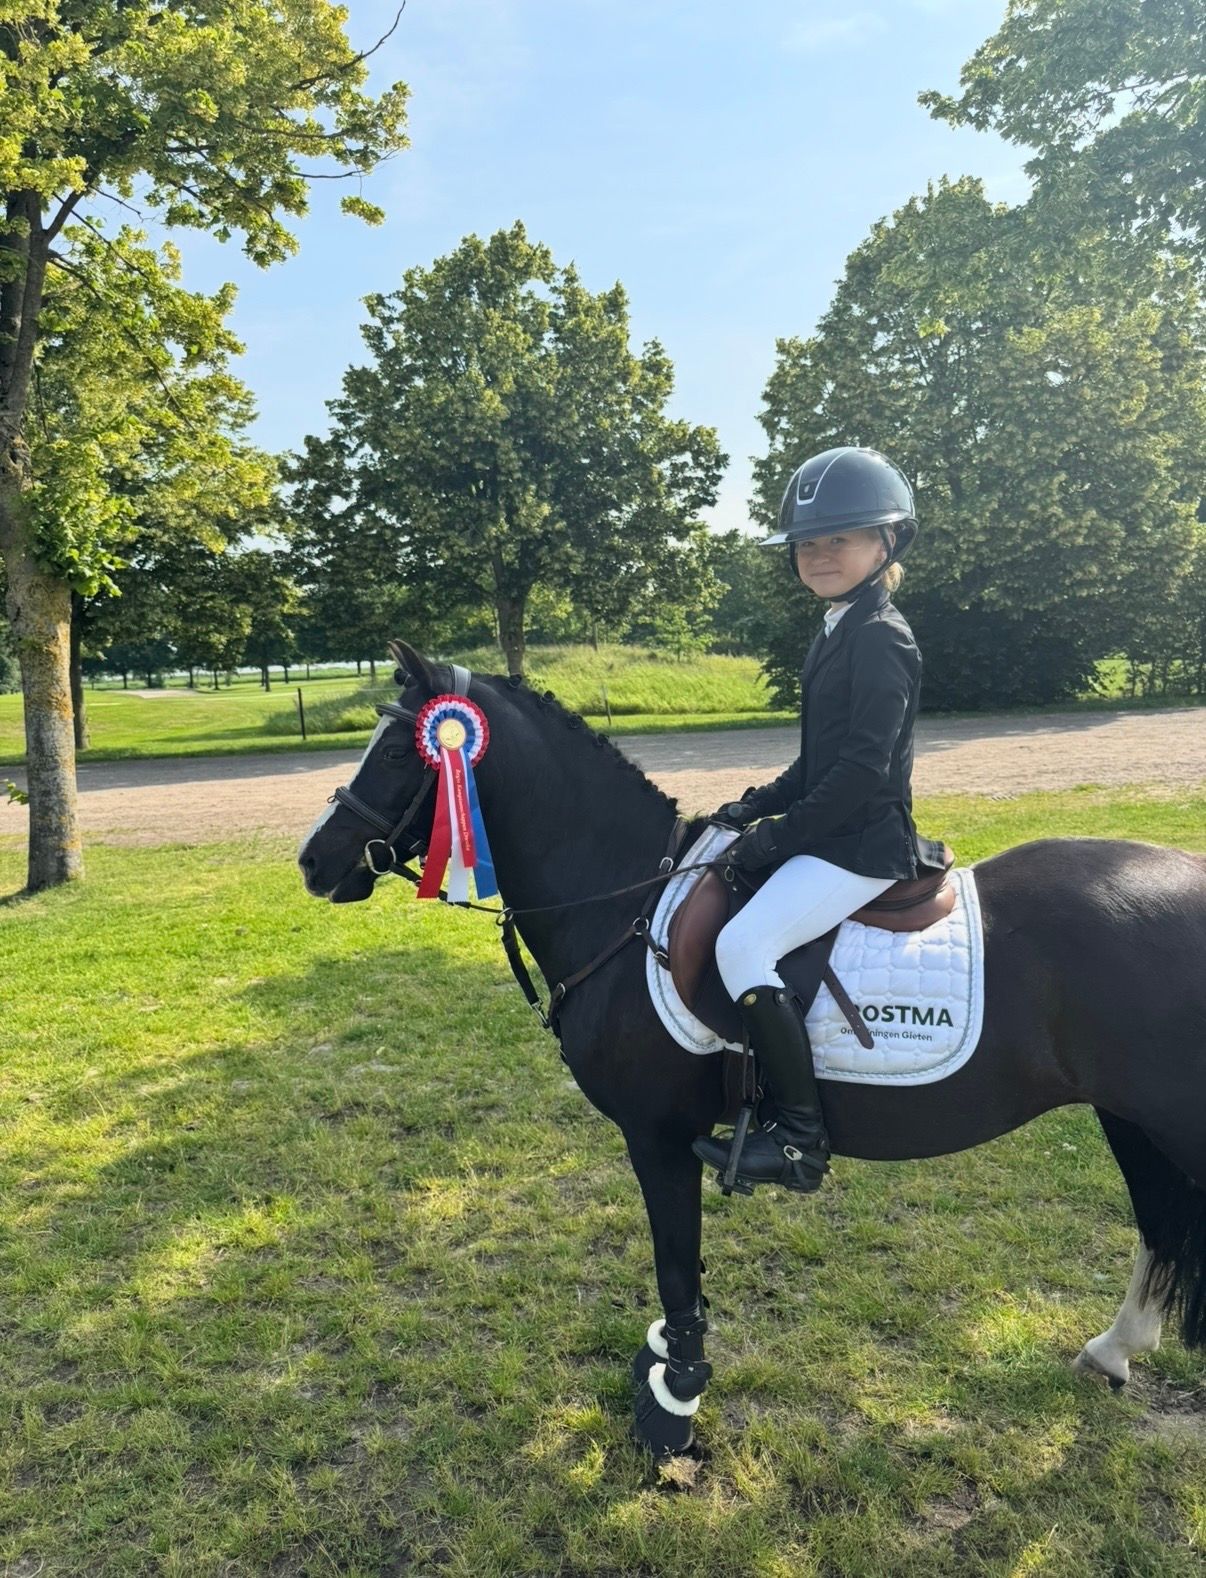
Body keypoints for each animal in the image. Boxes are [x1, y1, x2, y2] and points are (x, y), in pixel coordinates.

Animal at [298, 639, 1206, 1457]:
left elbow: (675, 1264)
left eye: (394, 752)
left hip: (1168, 1118)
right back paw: (1113, 1350)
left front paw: (674, 1402)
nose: (313, 862)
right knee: (1160, 1224)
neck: (624, 900)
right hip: (1128, 1115)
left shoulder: (658, 1138)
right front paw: (665, 1365)